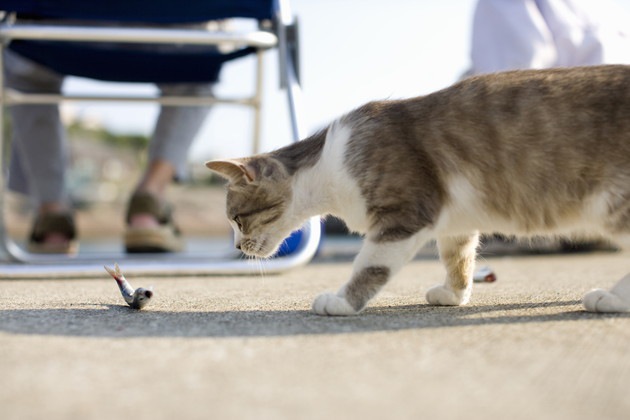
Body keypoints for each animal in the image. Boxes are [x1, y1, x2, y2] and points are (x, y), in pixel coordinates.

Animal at [210, 65, 630, 316]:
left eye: (237, 219)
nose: (237, 246)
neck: (328, 164)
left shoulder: (405, 213)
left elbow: (369, 264)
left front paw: (342, 301)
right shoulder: (455, 222)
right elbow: (458, 258)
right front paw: (454, 294)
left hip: (614, 203)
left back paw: (612, 299)